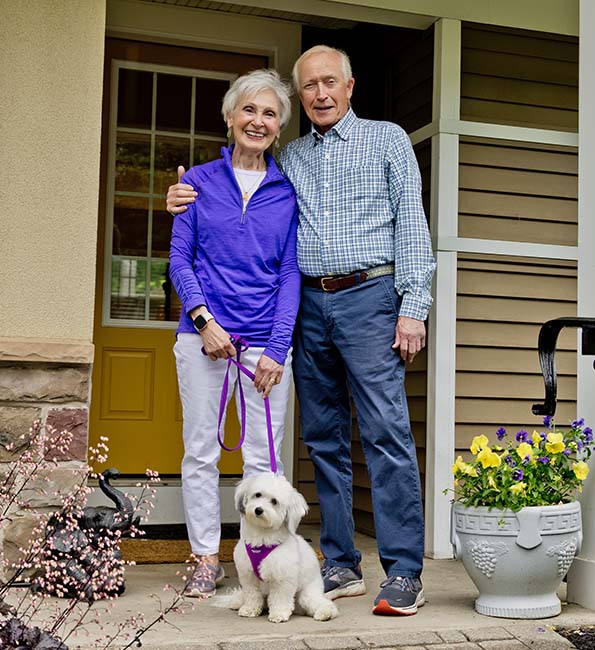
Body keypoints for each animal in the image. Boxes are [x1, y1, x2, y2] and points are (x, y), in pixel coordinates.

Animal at [230, 470, 338, 624]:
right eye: (257, 495)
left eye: (274, 501)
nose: (258, 510)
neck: (262, 538)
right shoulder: (248, 576)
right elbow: (252, 594)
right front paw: (249, 609)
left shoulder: (282, 578)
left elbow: (280, 598)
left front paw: (278, 614)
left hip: (306, 595)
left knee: (322, 603)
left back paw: (325, 613)